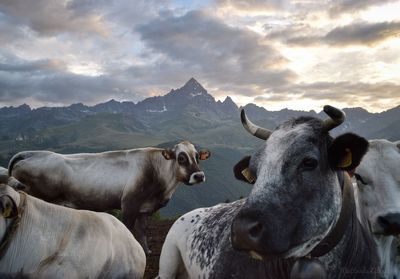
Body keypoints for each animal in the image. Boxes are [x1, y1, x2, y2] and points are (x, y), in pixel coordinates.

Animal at [7, 141, 211, 255]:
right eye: (181, 158)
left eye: (197, 157)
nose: (199, 176)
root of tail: (33, 153)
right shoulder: (129, 204)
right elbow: (128, 228)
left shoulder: (145, 209)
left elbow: (142, 230)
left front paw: (146, 250)